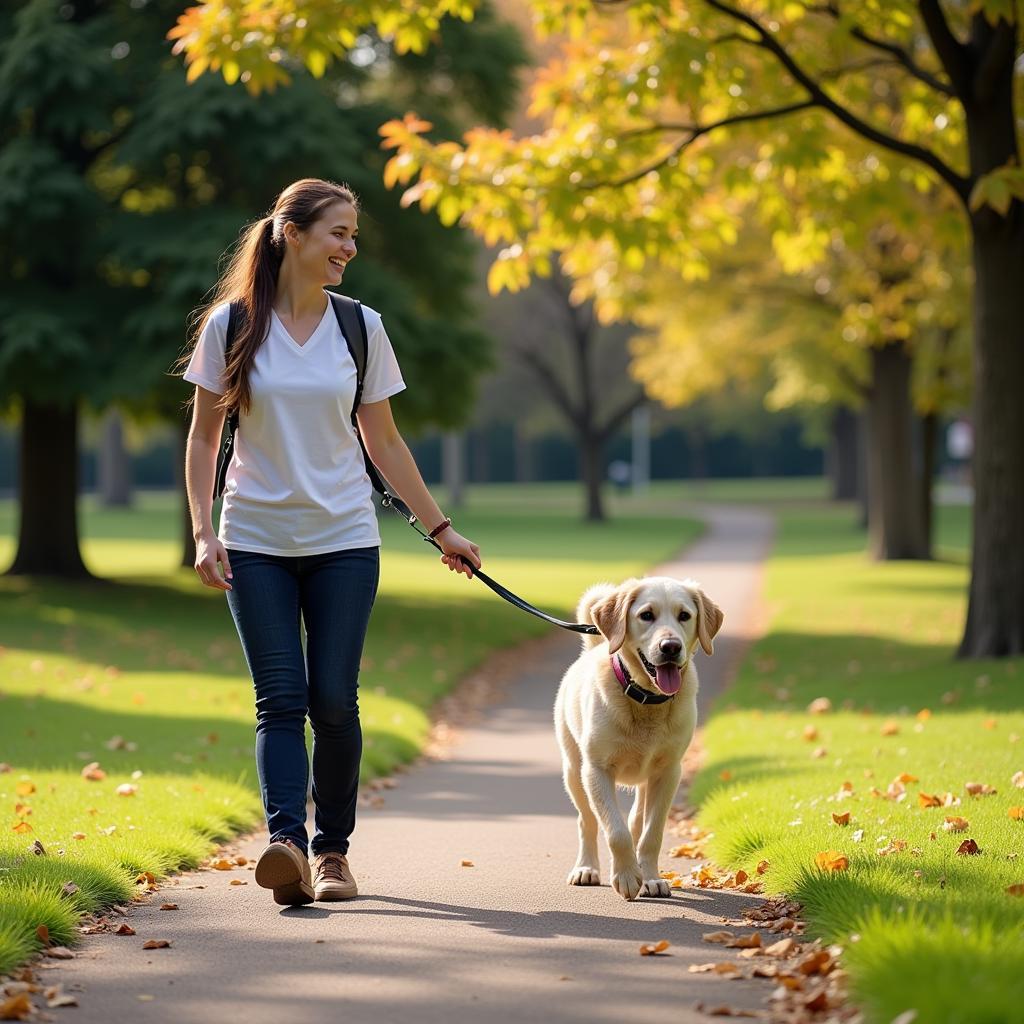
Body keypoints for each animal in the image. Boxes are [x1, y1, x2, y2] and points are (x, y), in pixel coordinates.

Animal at [552, 581, 720, 901]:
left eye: (684, 615)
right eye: (646, 615)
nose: (671, 647)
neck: (647, 700)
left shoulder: (668, 772)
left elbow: (652, 832)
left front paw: (650, 877)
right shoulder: (597, 770)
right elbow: (615, 831)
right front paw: (628, 876)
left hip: (645, 780)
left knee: (635, 820)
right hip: (573, 771)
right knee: (587, 820)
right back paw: (586, 868)